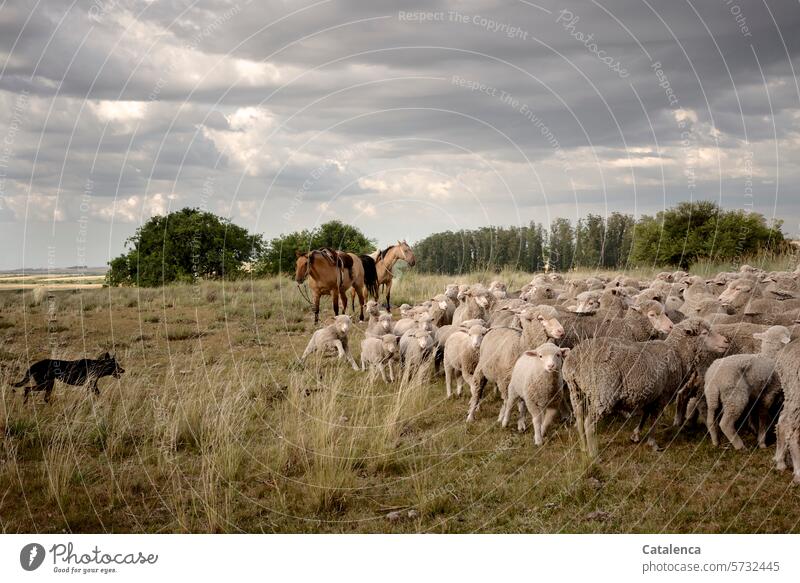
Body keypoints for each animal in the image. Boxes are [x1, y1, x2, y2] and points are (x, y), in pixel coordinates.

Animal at [564, 318, 732, 458]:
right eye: (704, 333)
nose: (726, 341)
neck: (678, 354)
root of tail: (574, 360)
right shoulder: (663, 395)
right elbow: (654, 419)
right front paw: (653, 443)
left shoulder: (650, 394)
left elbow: (645, 415)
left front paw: (636, 435)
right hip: (603, 394)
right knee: (589, 423)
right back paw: (593, 454)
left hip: (575, 390)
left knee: (579, 417)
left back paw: (583, 447)